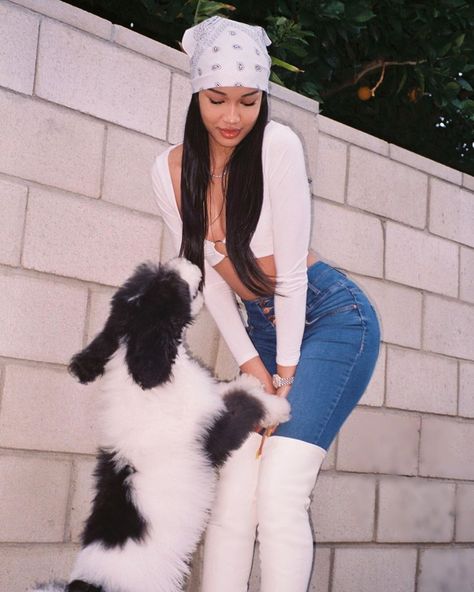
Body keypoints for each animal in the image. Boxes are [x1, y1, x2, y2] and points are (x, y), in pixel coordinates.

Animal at [31, 258, 290, 592]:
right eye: (171, 284)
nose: (188, 261)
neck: (139, 367)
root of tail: (88, 582)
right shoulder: (213, 432)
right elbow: (245, 405)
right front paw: (277, 406)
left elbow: (229, 391)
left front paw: (250, 380)